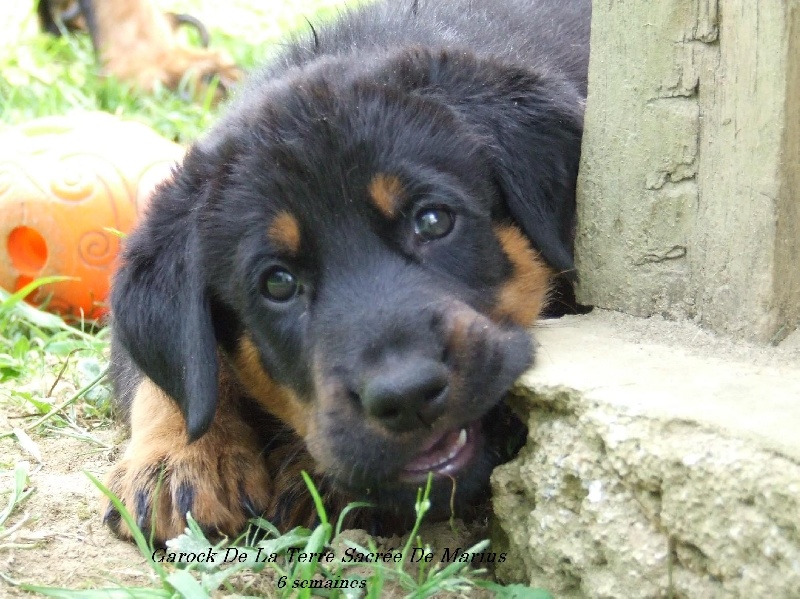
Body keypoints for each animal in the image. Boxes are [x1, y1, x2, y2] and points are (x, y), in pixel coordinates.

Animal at [103, 0, 592, 544]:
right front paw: (179, 461)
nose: (407, 395)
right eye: (278, 283)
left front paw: (311, 478)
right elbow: (175, 380)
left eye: (433, 221)